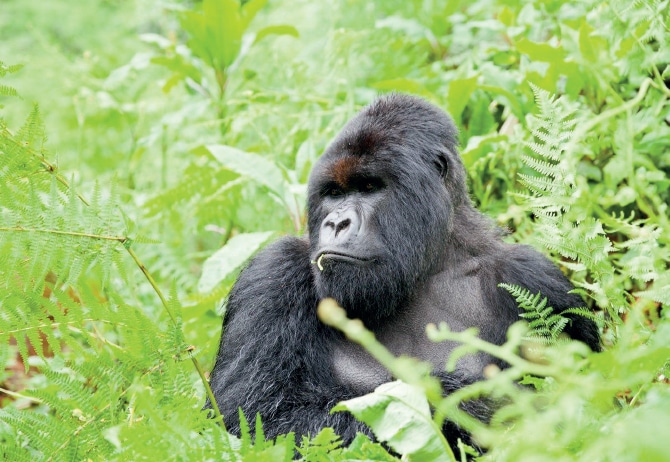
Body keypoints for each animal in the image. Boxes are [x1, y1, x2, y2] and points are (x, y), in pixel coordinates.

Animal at [206, 94, 604, 452]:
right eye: (334, 193)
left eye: (369, 187)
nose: (336, 223)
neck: (425, 269)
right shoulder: (272, 274)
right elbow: (254, 421)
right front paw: (471, 404)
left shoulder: (535, 280)